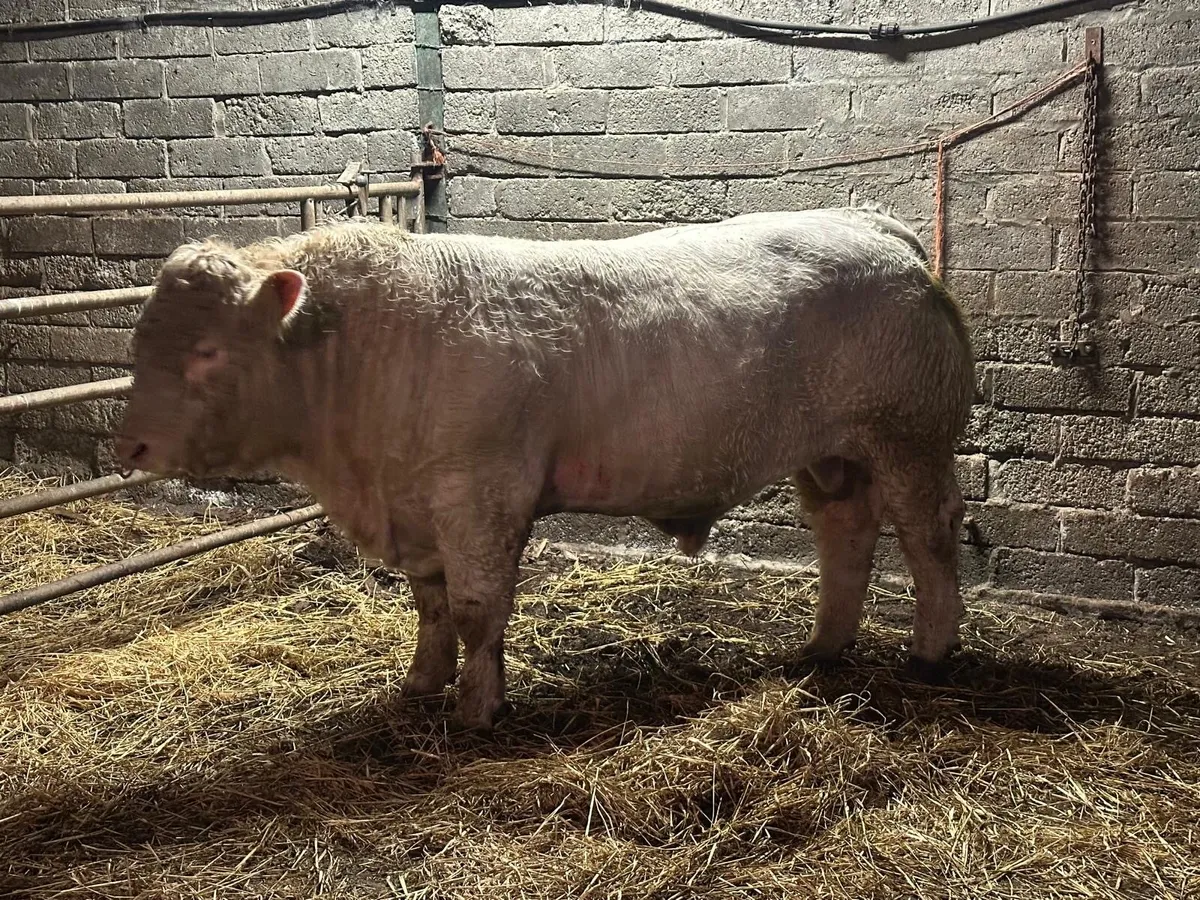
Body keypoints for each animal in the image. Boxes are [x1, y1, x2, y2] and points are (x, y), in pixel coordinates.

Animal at [116, 207, 976, 732]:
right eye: (141, 338)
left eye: (207, 351)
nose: (133, 449)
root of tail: (873, 226)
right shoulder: (419, 504)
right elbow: (430, 607)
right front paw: (422, 682)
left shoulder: (480, 491)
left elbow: (474, 610)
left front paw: (478, 707)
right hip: (833, 454)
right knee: (846, 538)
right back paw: (824, 646)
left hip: (910, 439)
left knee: (929, 541)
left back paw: (930, 653)